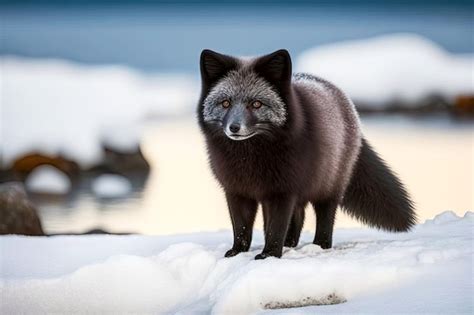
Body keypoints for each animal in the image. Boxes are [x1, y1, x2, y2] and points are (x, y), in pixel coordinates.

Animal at [196, 49, 414, 260]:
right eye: (225, 103)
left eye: (256, 104)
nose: (234, 127)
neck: (247, 158)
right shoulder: (237, 191)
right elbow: (241, 228)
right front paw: (238, 253)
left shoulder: (281, 192)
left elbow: (275, 228)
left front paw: (269, 255)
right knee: (299, 216)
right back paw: (289, 244)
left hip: (328, 187)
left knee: (324, 217)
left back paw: (320, 245)